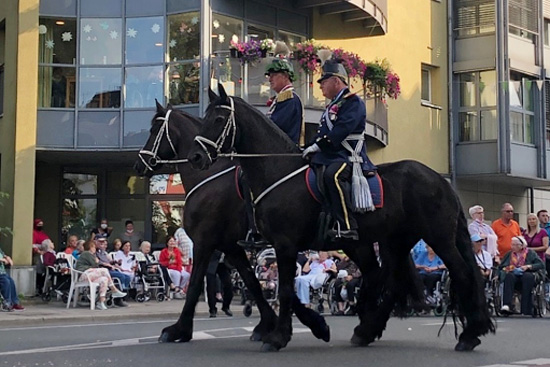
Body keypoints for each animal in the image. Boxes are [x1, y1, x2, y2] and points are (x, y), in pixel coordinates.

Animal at [135, 103, 330, 344]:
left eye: (154, 130)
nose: (139, 165)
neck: (209, 175)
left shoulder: (204, 241)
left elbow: (195, 284)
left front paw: (179, 329)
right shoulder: (232, 247)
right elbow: (254, 282)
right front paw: (275, 323)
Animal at [188, 85, 498, 352]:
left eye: (218, 119)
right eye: (203, 118)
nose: (196, 157)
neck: (277, 171)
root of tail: (440, 179)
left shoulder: (284, 244)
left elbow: (286, 289)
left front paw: (278, 337)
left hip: (437, 237)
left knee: (461, 273)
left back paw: (468, 335)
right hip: (394, 240)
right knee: (390, 280)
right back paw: (367, 329)